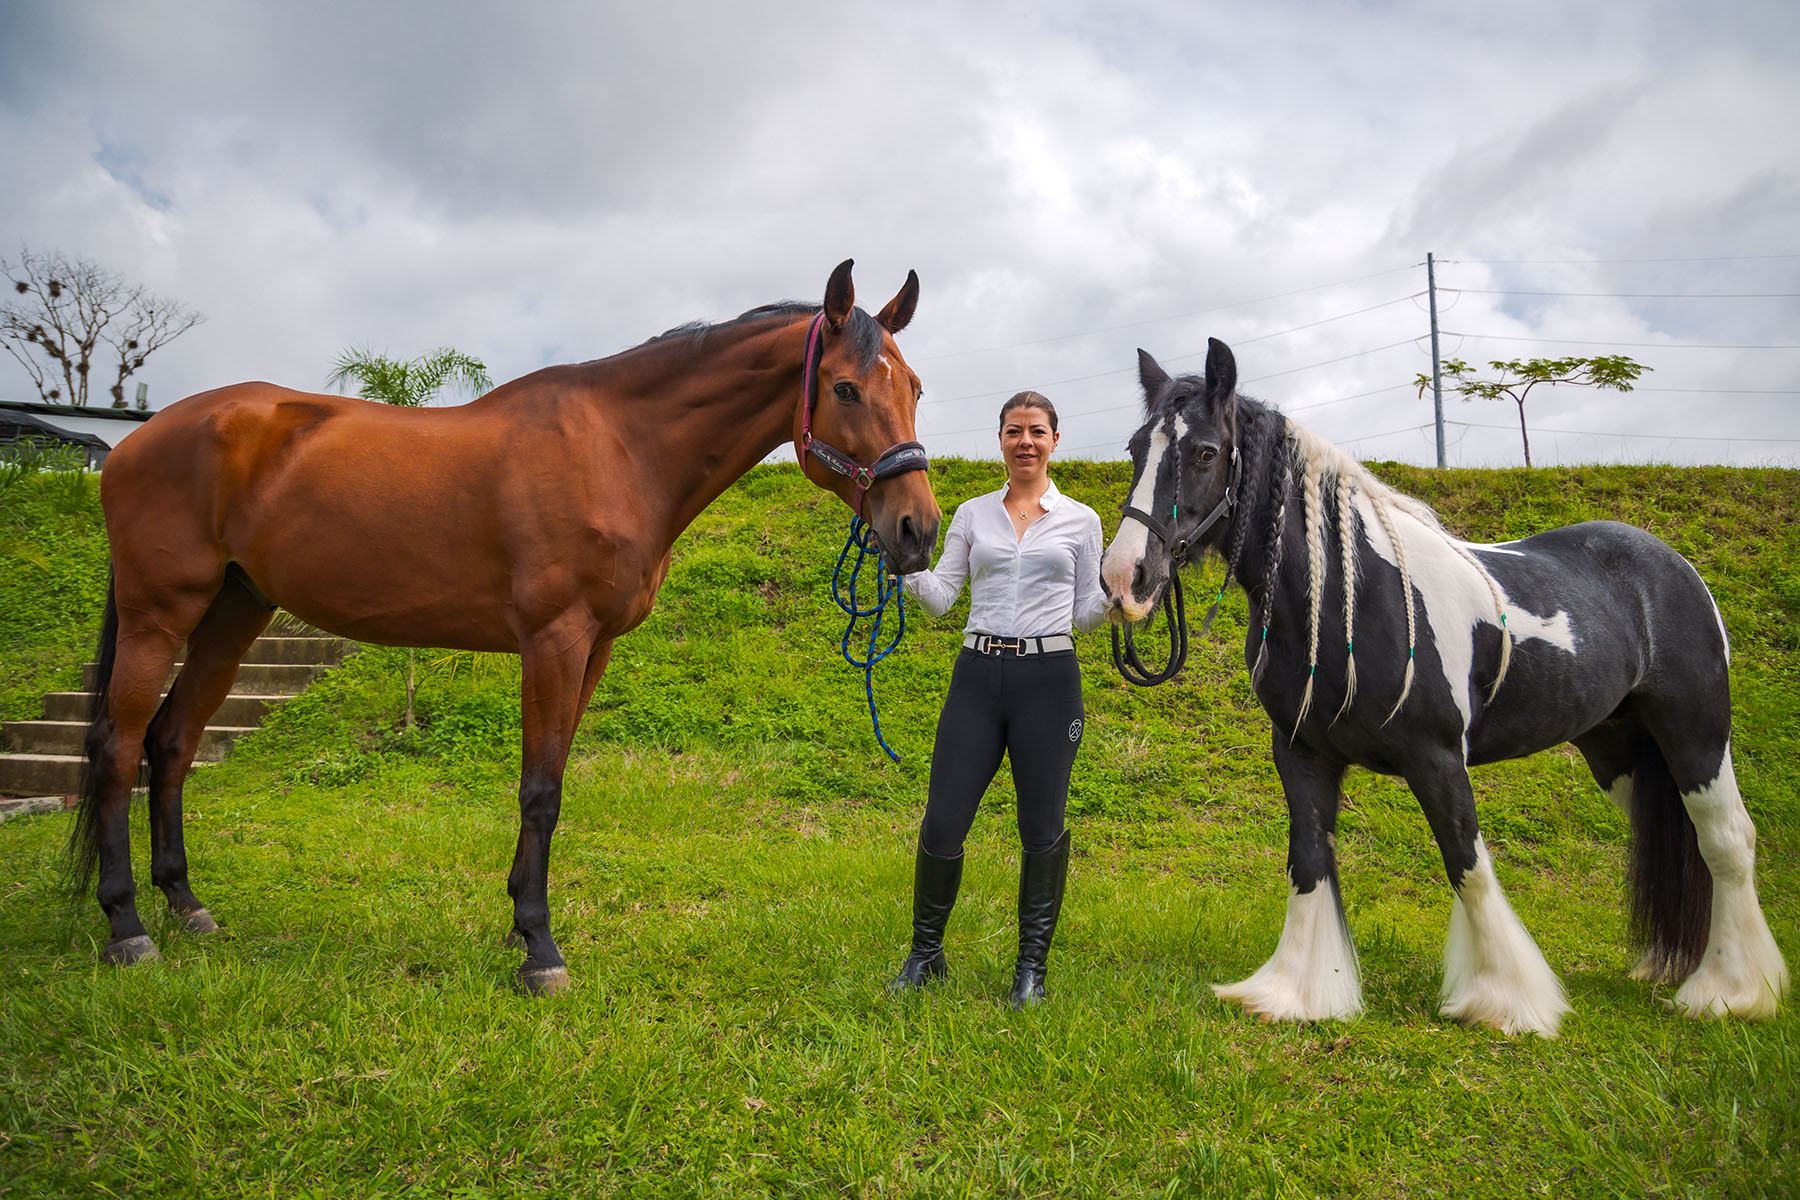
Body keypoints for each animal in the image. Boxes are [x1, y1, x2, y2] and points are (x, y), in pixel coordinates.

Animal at [70, 260, 943, 993]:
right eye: (846, 389)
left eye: (917, 387)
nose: (917, 530)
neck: (621, 448)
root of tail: (140, 439)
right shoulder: (552, 641)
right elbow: (540, 790)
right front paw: (541, 950)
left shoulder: (594, 649)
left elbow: (551, 781)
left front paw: (521, 925)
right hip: (160, 612)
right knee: (117, 746)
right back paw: (126, 927)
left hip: (234, 610)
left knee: (172, 742)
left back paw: (187, 906)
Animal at [1094, 341, 1785, 1036]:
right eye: (1134, 447)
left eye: (1206, 452)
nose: (1125, 577)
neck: (1349, 598)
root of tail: (1673, 566)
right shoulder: (1300, 753)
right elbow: (1310, 863)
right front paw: (1298, 995)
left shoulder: (1437, 757)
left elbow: (1467, 863)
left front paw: (1507, 1002)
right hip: (1621, 752)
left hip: (1696, 736)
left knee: (1727, 841)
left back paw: (1731, 992)